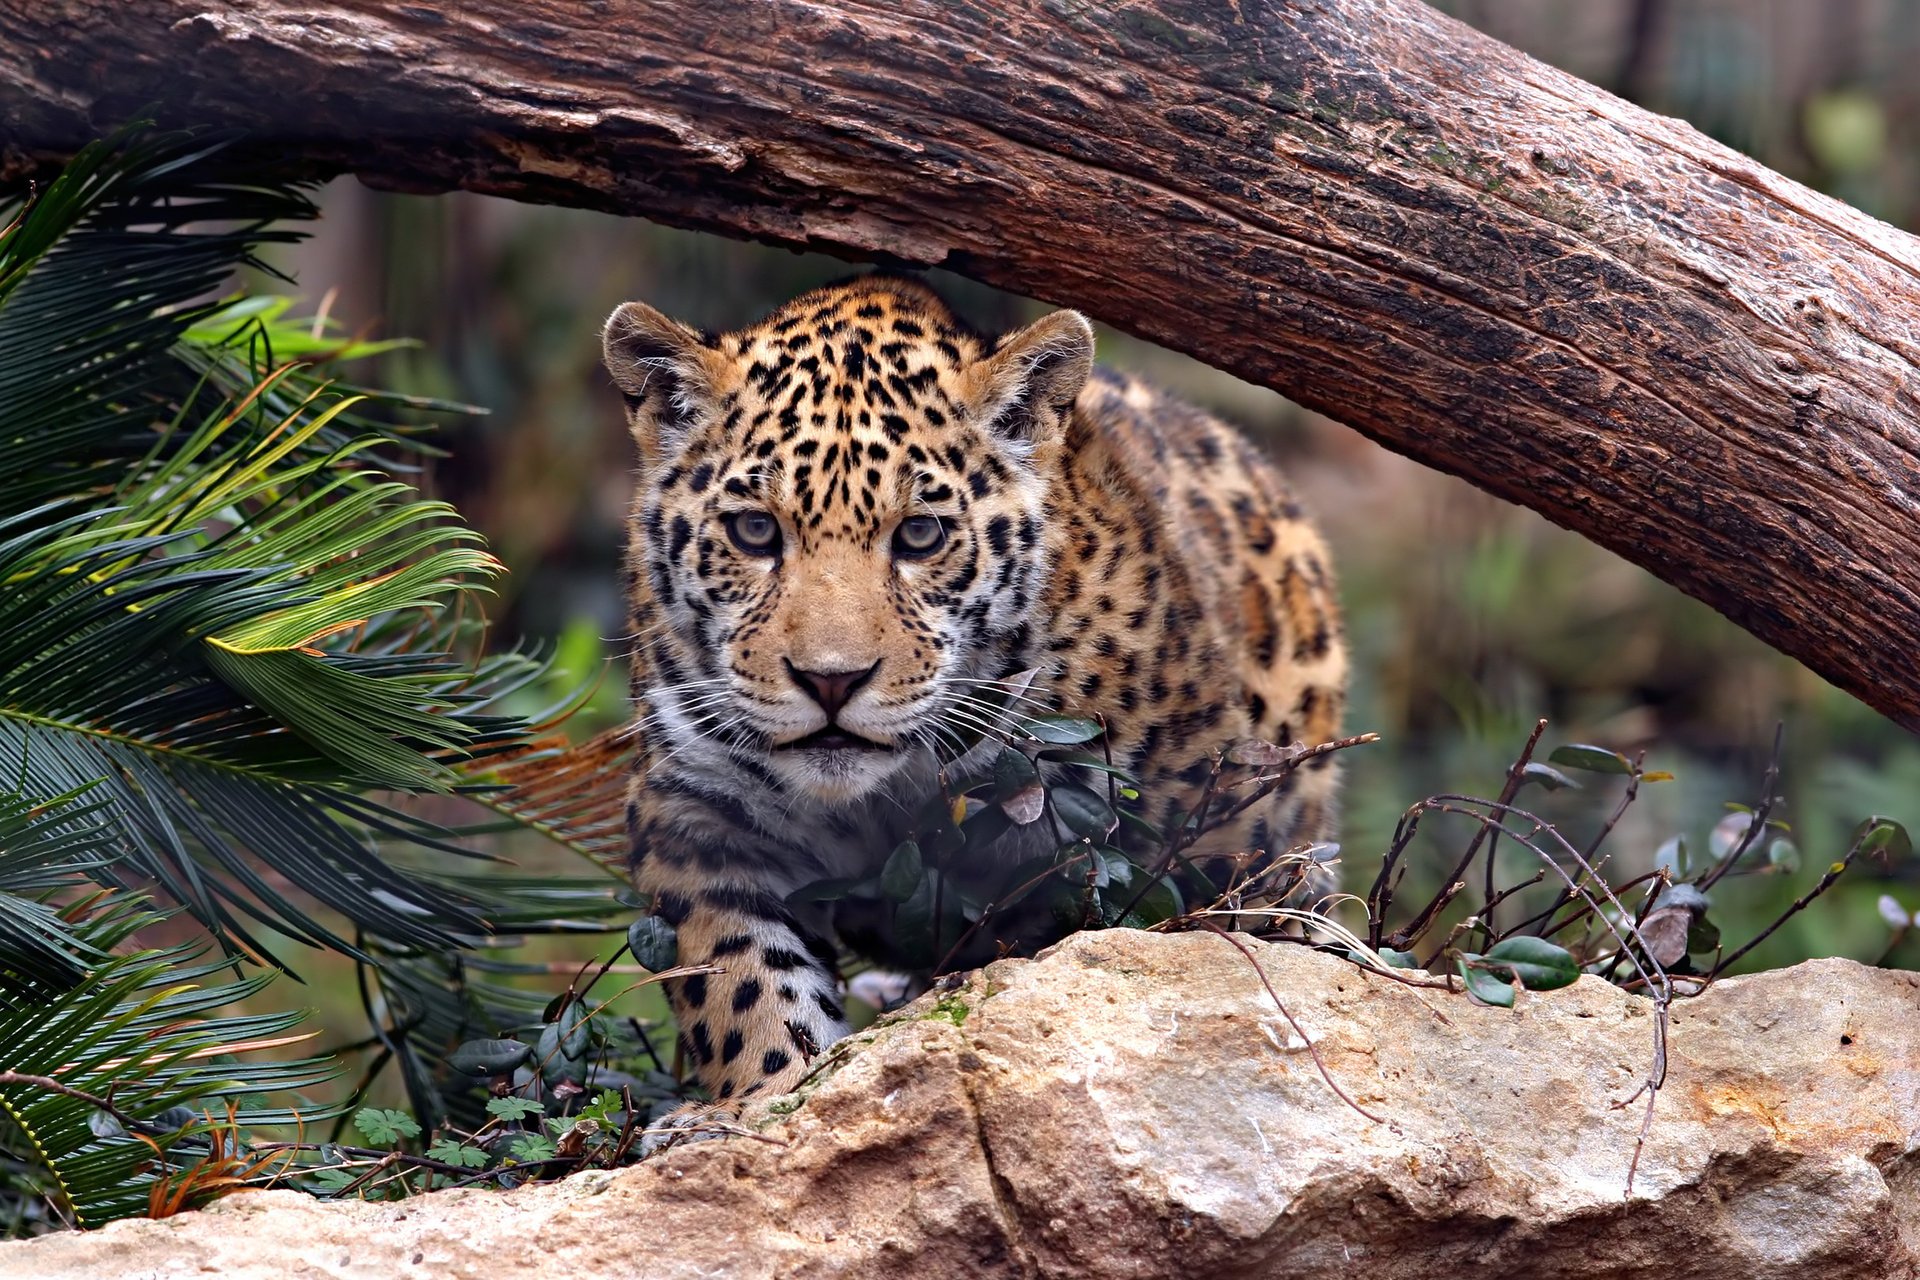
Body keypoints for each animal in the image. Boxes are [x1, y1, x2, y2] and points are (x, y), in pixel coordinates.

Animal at [600, 274, 1345, 1131]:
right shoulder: (697, 816)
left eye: (921, 536)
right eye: (755, 531)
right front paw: (760, 1103)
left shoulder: (1199, 842)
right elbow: (741, 981)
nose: (831, 681)